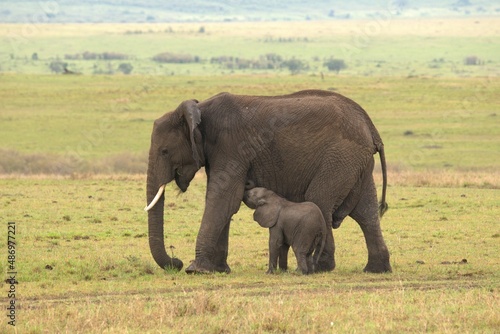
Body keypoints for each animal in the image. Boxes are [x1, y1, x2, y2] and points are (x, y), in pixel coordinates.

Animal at [144, 88, 390, 274]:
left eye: (164, 151)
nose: (176, 262)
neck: (200, 110)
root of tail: (371, 128)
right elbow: (222, 201)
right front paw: (218, 270)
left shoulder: (231, 147)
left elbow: (223, 201)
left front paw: (196, 270)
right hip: (355, 162)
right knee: (366, 212)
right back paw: (376, 269)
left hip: (340, 158)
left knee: (320, 200)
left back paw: (320, 267)